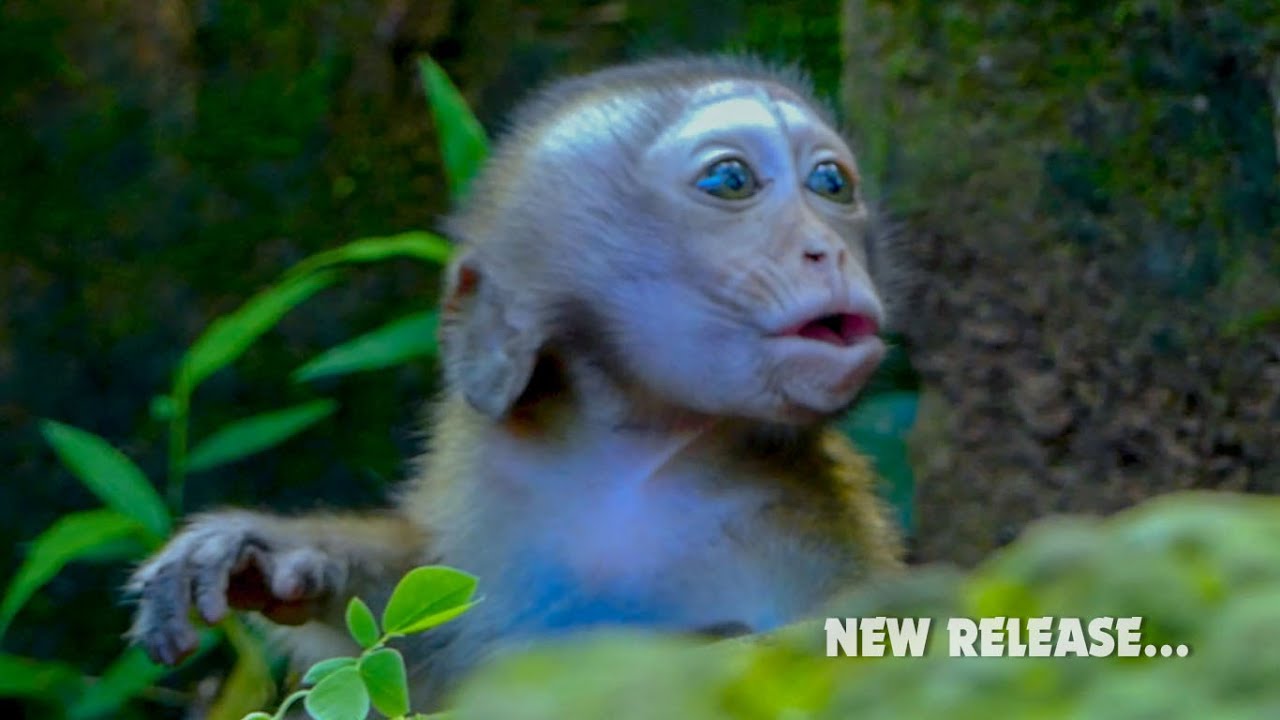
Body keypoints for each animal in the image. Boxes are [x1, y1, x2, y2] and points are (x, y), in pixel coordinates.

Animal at [128, 55, 905, 706]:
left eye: (831, 184)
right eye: (730, 180)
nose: (827, 249)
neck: (630, 457)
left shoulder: (797, 524)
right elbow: (434, 647)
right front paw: (273, 555)